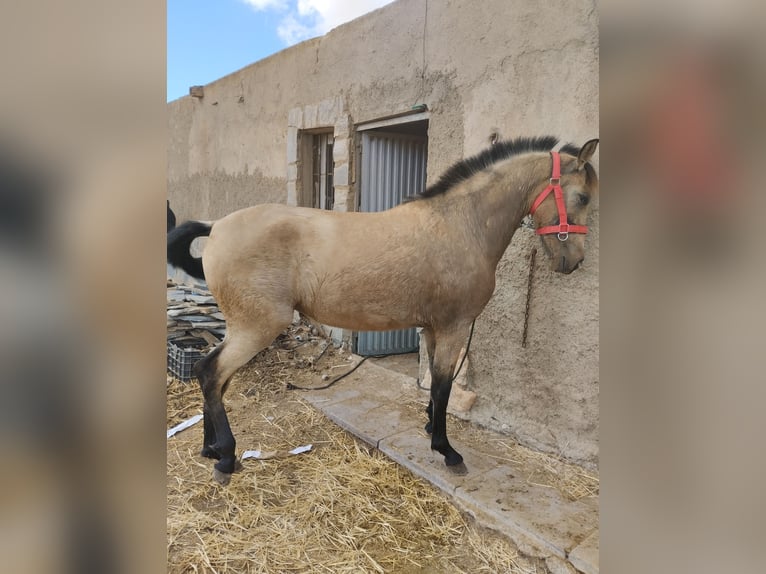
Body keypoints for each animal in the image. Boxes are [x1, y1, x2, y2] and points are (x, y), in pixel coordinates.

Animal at [168, 135, 600, 486]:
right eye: (583, 197)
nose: (574, 261)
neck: (461, 225)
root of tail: (217, 225)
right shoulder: (455, 326)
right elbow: (443, 385)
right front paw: (447, 450)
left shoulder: (432, 328)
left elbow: (435, 384)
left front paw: (429, 427)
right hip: (257, 327)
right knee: (211, 373)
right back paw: (226, 458)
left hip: (241, 326)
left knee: (214, 377)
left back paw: (210, 450)